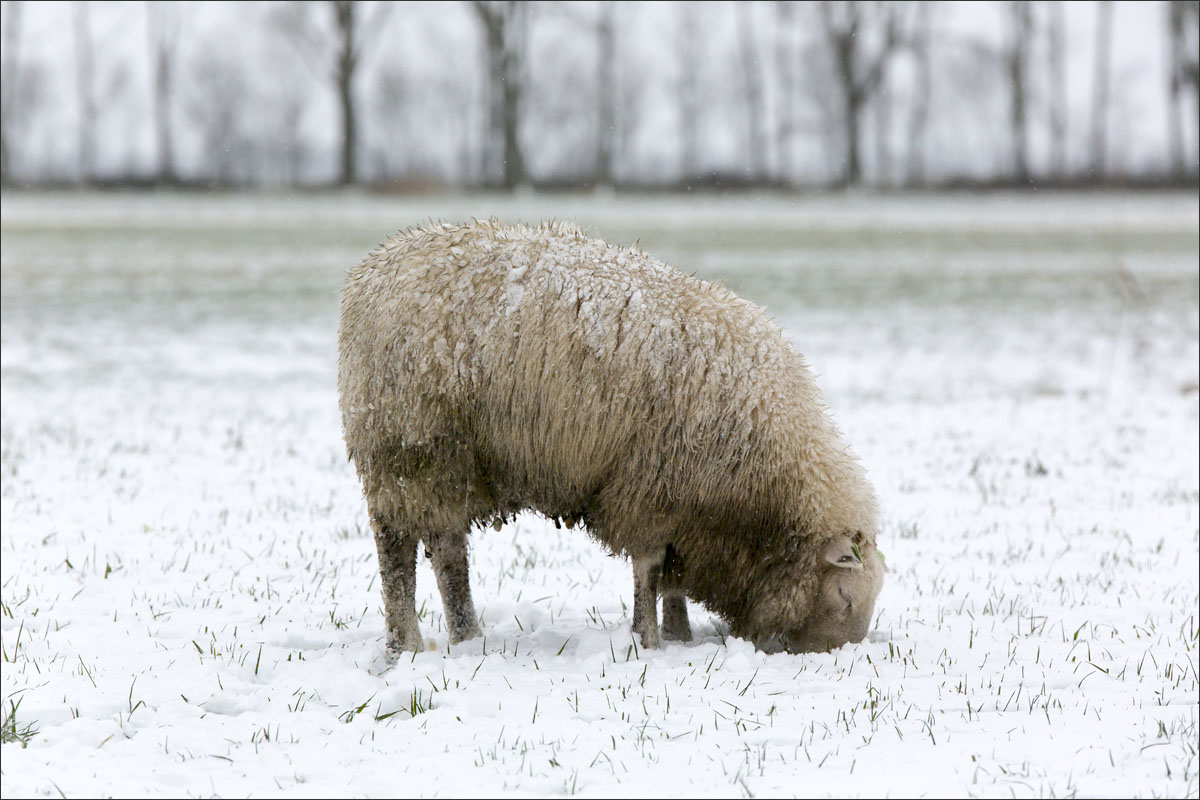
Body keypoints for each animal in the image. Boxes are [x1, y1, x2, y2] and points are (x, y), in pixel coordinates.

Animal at [337, 220, 883, 655]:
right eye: (844, 597)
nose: (818, 656)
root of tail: (372, 273)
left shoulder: (687, 510)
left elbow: (673, 580)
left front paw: (679, 634)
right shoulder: (652, 490)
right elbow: (650, 570)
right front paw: (650, 640)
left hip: (449, 464)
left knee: (448, 552)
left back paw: (467, 636)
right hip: (406, 451)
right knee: (396, 554)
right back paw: (406, 644)